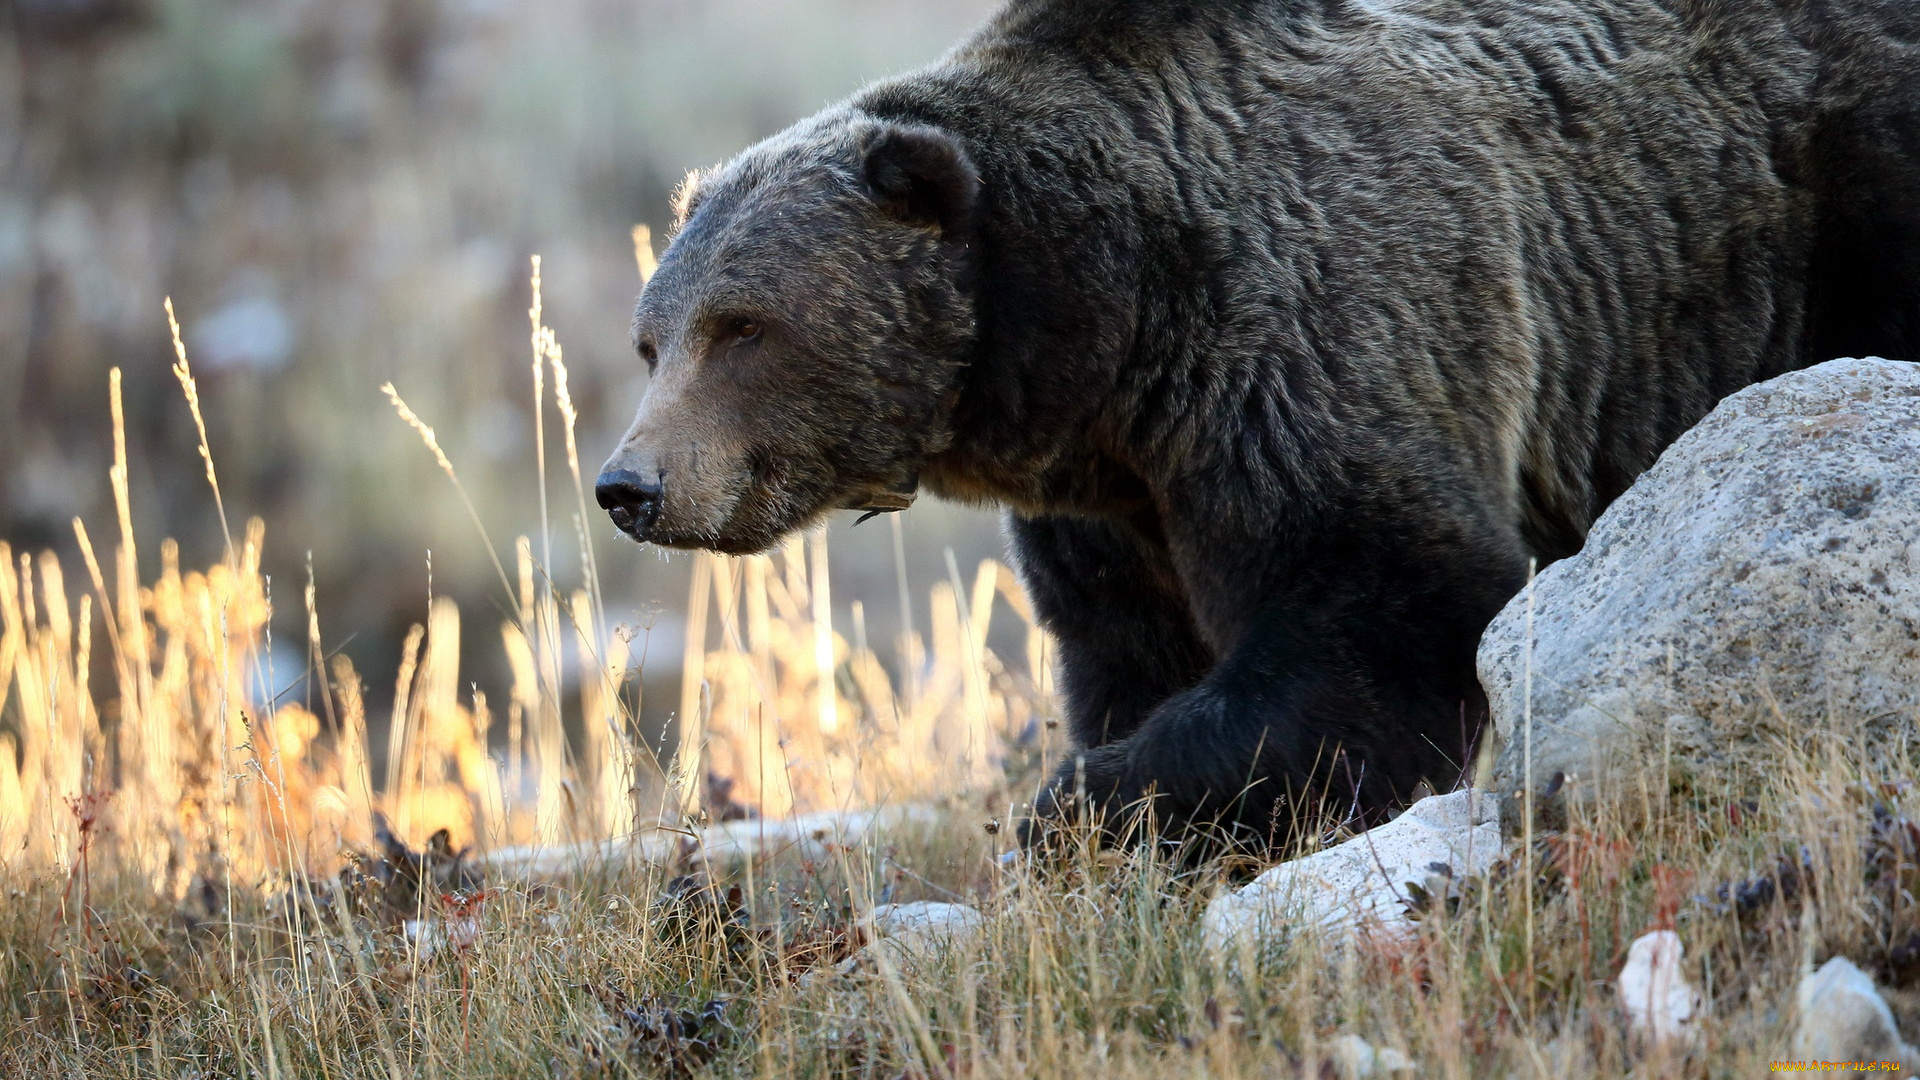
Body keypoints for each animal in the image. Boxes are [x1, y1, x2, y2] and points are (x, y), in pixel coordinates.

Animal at [597, 0, 1920, 850]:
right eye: (653, 338)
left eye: (745, 327)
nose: (630, 485)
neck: (1107, 332)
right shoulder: (1113, 500)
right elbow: (1133, 653)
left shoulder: (1309, 331)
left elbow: (1384, 613)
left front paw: (1079, 811)